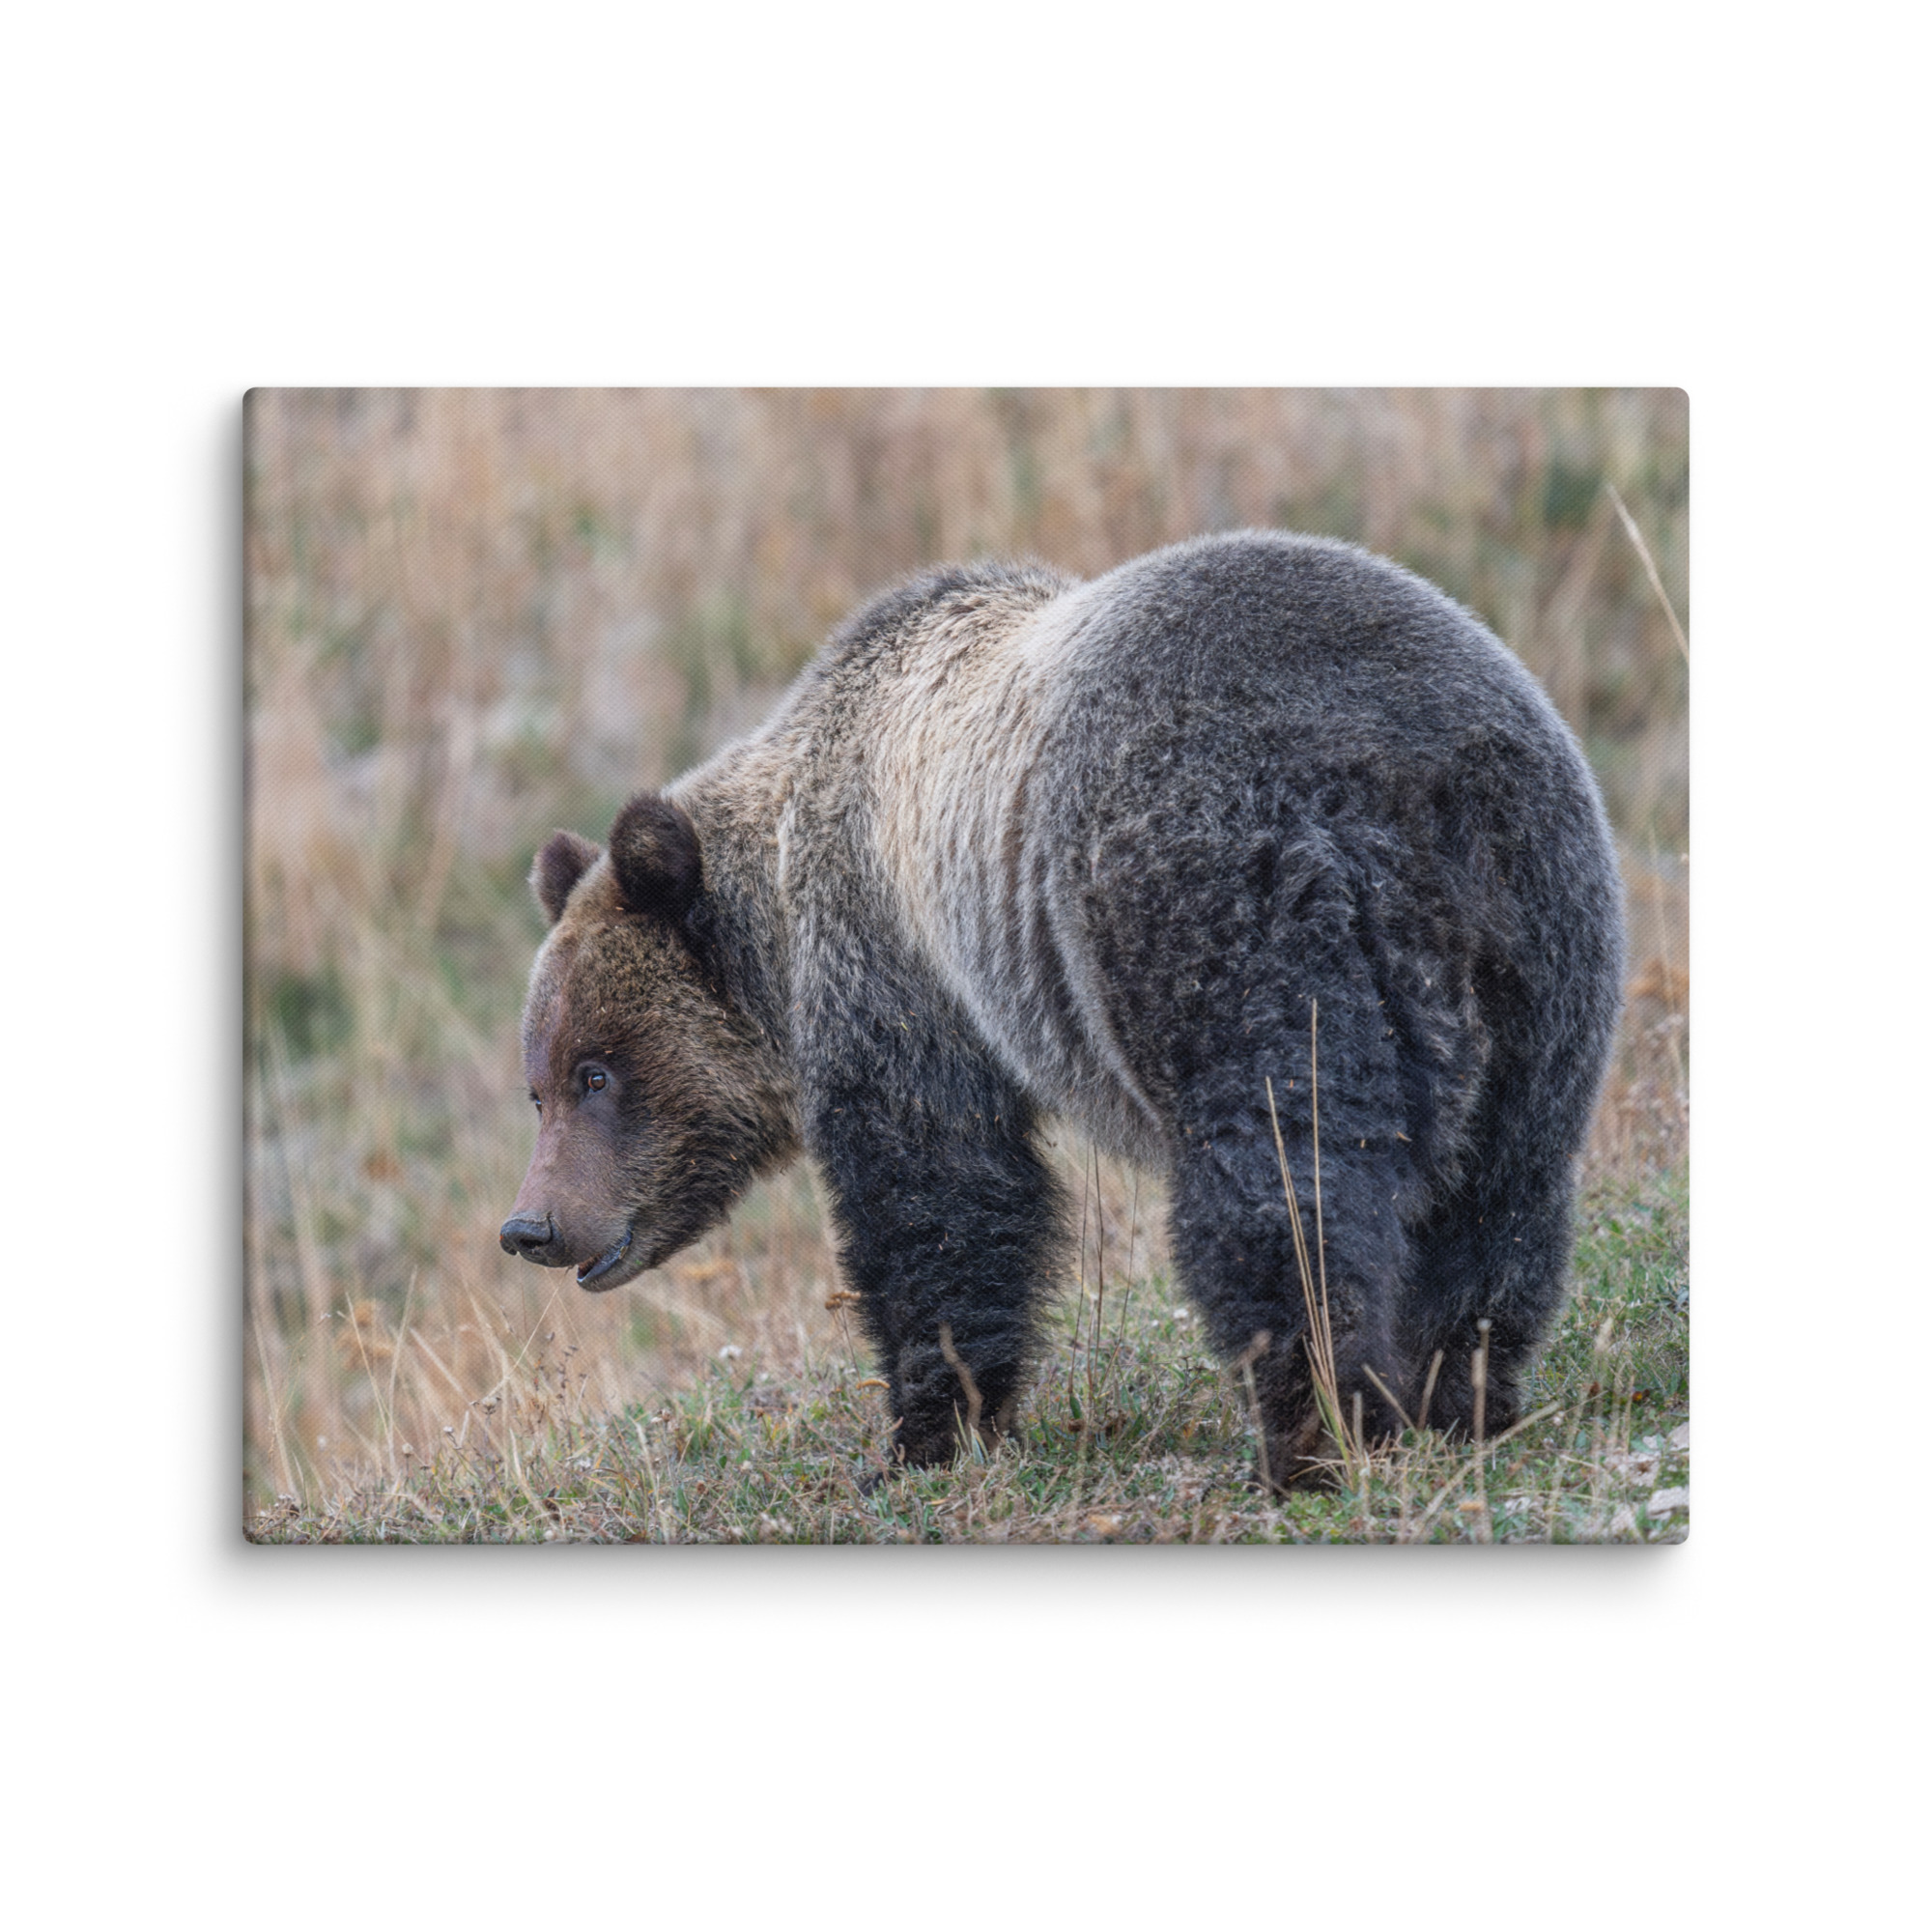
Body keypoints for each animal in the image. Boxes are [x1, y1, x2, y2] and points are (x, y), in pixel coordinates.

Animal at [500, 530, 1625, 1487]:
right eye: (538, 1085)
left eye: (596, 1071)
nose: (531, 1225)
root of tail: (1405, 775)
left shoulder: (898, 964)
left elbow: (939, 1192)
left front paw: (924, 1433)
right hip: (1541, 938)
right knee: (1502, 1189)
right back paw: (1458, 1397)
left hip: (1223, 907)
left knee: (1282, 1181)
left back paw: (1313, 1433)